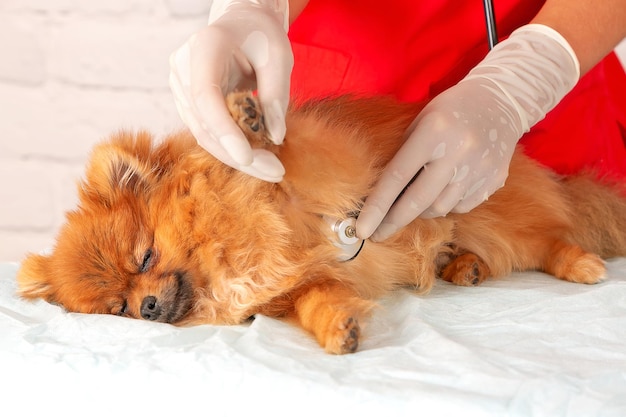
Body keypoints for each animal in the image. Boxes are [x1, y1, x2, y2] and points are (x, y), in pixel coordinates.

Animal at [17, 90, 624, 352]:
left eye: (145, 257)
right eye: (117, 310)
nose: (145, 307)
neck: (220, 250)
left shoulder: (311, 169)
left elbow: (270, 152)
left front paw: (242, 115)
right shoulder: (298, 285)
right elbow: (318, 303)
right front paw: (339, 328)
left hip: (496, 213)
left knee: (550, 240)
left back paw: (580, 263)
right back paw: (464, 267)